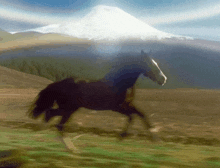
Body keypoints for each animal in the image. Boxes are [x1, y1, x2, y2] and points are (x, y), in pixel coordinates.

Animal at [28, 50, 168, 151]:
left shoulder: (125, 106)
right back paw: (71, 148)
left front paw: (151, 137)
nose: (163, 79)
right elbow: (136, 115)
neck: (120, 84)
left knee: (50, 114)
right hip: (68, 109)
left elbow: (138, 115)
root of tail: (58, 84)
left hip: (69, 108)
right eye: (150, 64)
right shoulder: (119, 107)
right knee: (58, 123)